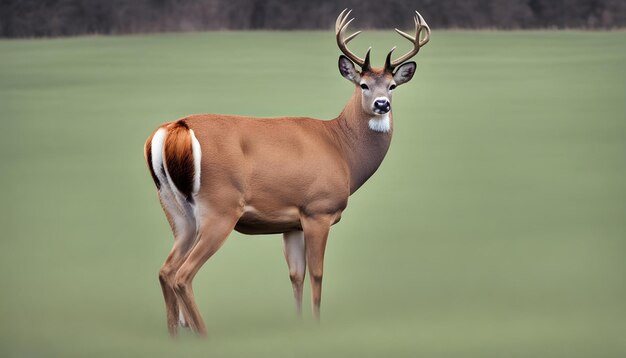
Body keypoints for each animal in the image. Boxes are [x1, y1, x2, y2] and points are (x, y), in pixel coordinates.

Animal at [144, 9, 428, 338]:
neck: (343, 150)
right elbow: (317, 272)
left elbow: (296, 275)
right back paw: (204, 334)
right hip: (219, 207)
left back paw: (175, 336)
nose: (382, 104)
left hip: (176, 209)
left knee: (165, 270)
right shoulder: (319, 209)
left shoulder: (292, 221)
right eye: (363, 85)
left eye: (392, 86)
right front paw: (317, 325)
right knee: (183, 274)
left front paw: (299, 324)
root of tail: (175, 129)